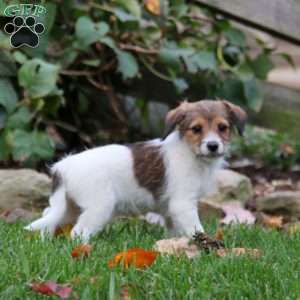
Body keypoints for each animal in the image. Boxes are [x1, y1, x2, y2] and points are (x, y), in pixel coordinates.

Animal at [25, 99, 246, 240]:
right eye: (196, 129)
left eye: (222, 127)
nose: (213, 146)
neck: (190, 152)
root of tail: (63, 166)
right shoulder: (183, 204)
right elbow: (195, 229)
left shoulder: (171, 210)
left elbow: (175, 231)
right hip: (99, 207)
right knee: (78, 232)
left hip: (69, 207)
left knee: (49, 219)